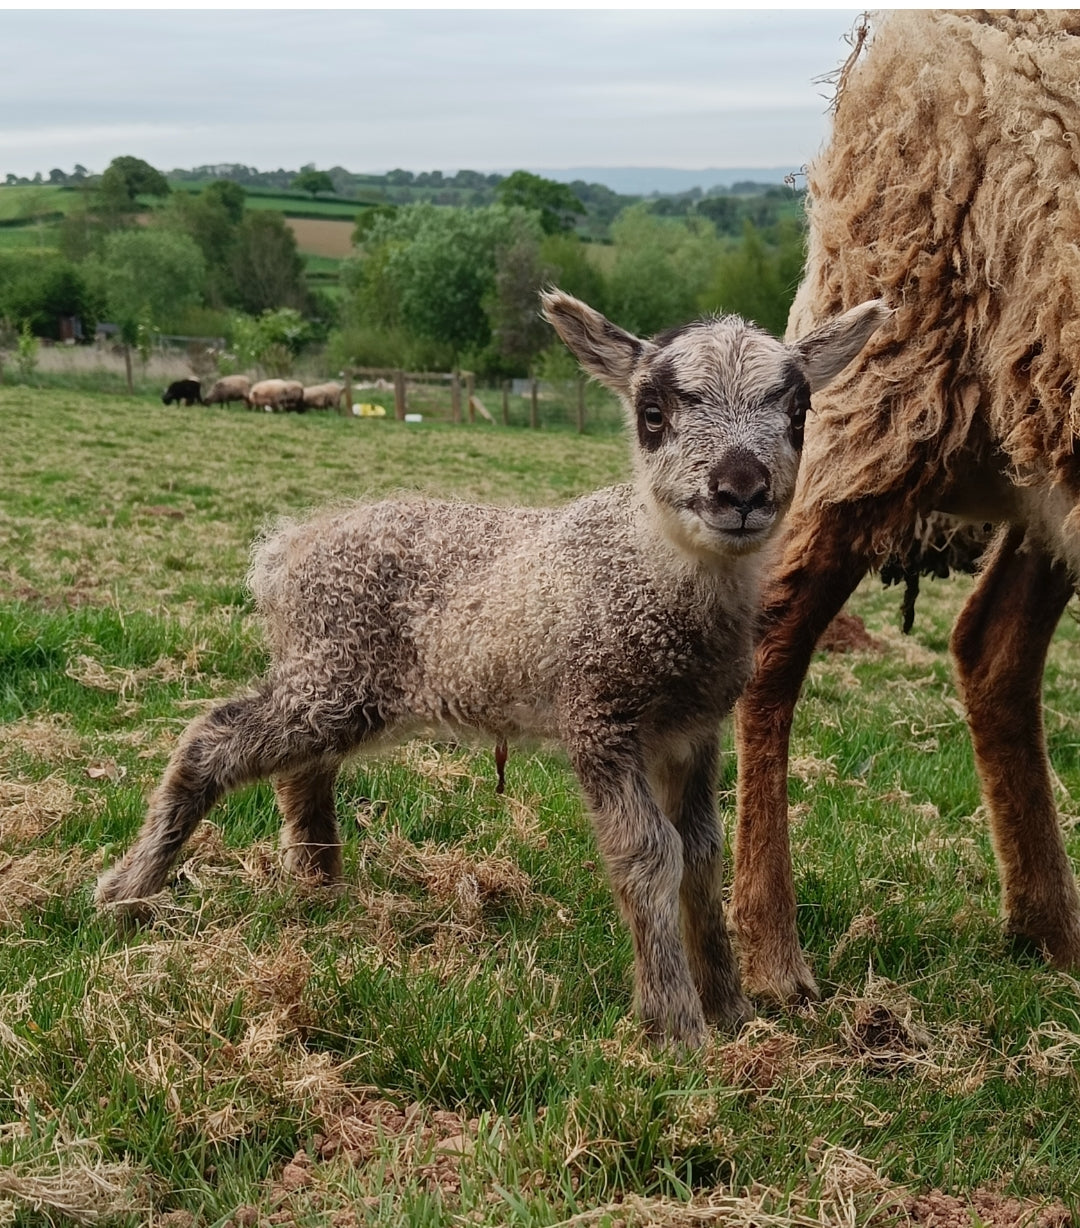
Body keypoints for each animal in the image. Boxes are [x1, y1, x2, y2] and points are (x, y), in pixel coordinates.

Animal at [95, 288, 887, 1046]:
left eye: (799, 412)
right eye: (653, 414)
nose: (741, 490)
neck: (653, 570)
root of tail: (285, 549)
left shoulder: (692, 732)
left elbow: (701, 854)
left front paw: (731, 1010)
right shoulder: (598, 715)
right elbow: (649, 854)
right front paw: (676, 1027)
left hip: (340, 681)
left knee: (301, 768)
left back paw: (318, 887)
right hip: (331, 669)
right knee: (212, 741)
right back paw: (128, 890)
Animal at [729, 9, 1080, 1005]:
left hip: (1033, 427)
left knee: (990, 648)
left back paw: (1050, 932)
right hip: (898, 375)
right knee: (773, 640)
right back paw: (770, 955)